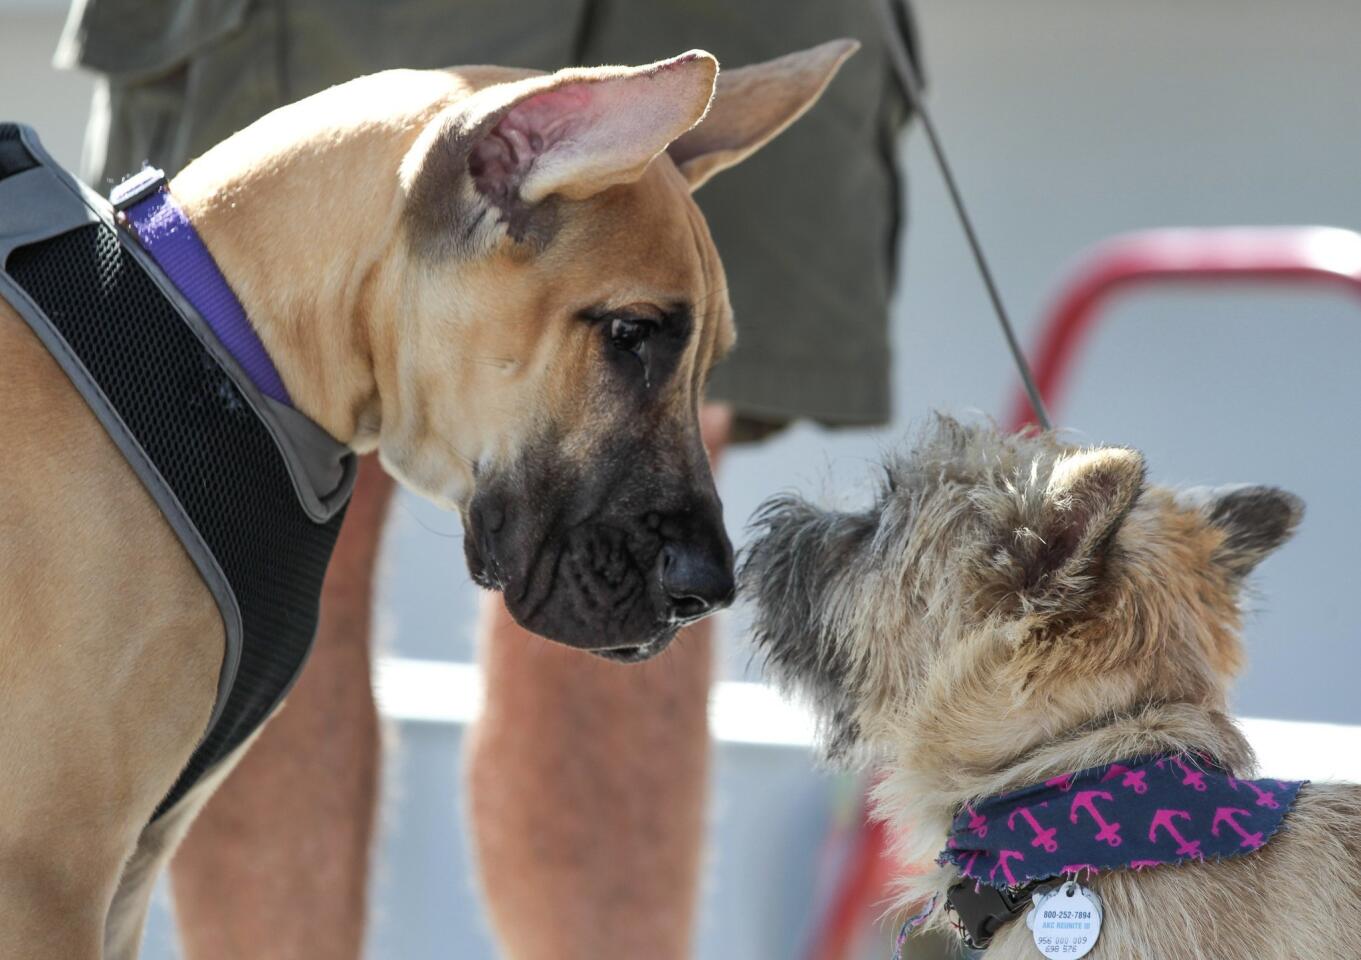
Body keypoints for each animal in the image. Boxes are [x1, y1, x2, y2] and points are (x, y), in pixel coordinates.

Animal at [0, 41, 849, 953]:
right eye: (629, 332)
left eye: (709, 364)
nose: (710, 589)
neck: (219, 338)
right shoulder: (49, 878)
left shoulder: (125, 875)